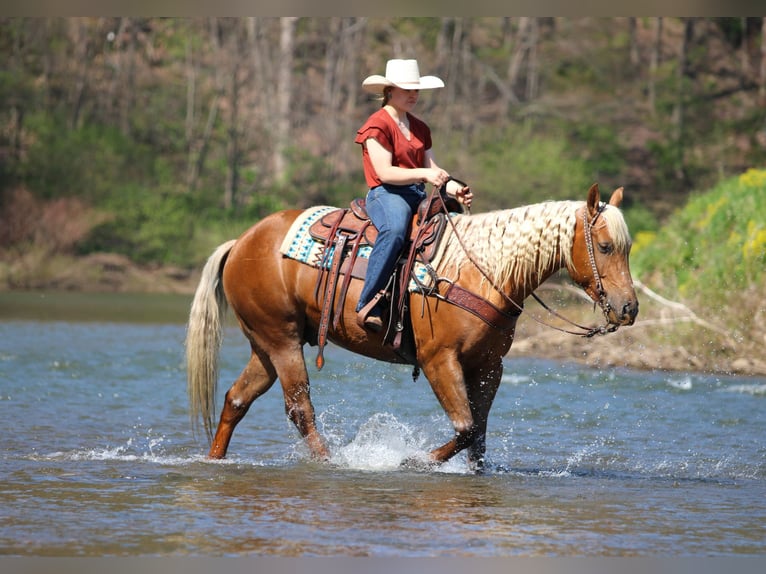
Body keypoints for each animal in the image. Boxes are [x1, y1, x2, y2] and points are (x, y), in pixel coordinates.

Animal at [185, 183, 638, 470]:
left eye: (628, 247)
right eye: (604, 246)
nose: (628, 308)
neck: (483, 272)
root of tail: (240, 242)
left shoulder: (489, 367)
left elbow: (479, 437)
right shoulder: (440, 359)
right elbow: (465, 427)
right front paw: (412, 460)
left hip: (267, 343)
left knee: (237, 399)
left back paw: (214, 460)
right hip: (282, 341)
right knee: (299, 408)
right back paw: (331, 463)